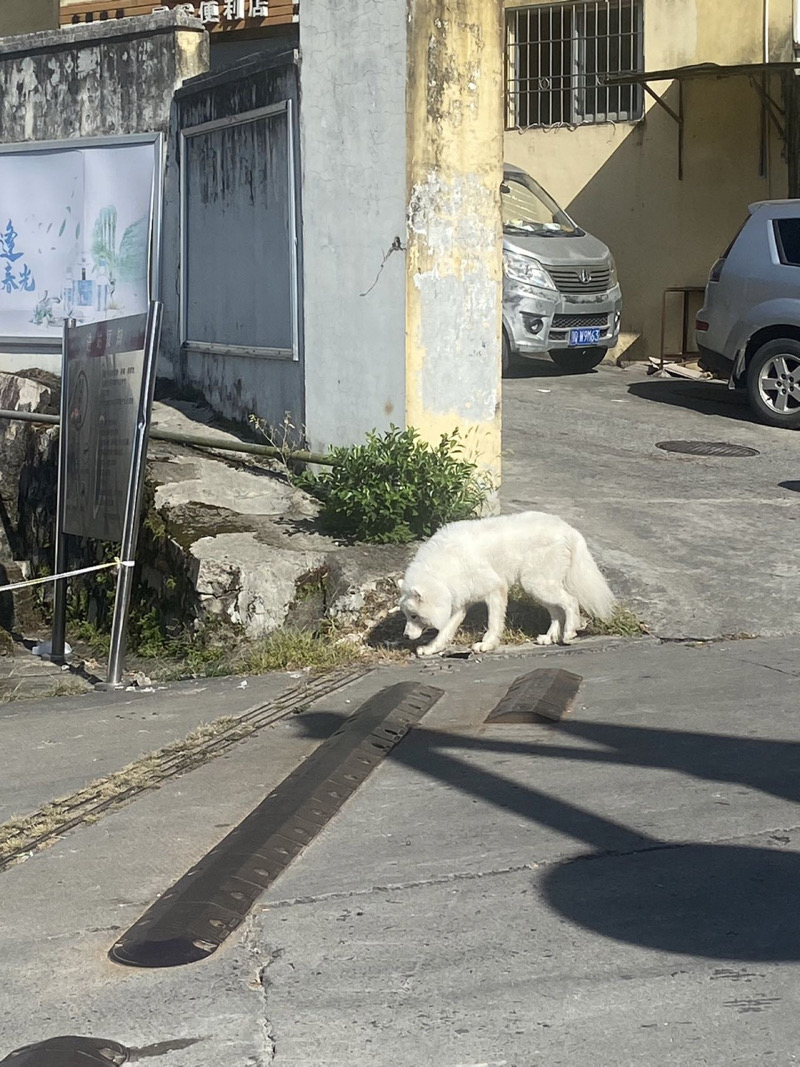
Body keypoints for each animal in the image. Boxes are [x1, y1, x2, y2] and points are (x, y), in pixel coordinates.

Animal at [398, 507, 618, 648]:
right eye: (407, 615)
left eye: (414, 616)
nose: (405, 636)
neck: (444, 569)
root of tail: (569, 530)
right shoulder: (461, 602)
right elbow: (445, 631)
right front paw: (431, 649)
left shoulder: (495, 590)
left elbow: (494, 623)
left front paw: (486, 645)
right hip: (537, 588)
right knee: (557, 611)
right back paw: (549, 638)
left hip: (536, 584)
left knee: (570, 602)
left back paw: (569, 634)